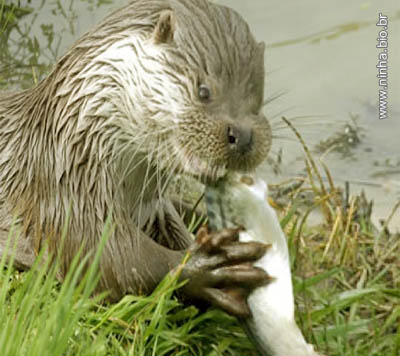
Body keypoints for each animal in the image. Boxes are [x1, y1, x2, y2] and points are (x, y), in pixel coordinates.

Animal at [0, 0, 272, 318]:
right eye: (203, 91)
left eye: (258, 100)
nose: (243, 135)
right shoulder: (65, 195)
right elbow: (113, 262)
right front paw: (207, 266)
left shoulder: (153, 206)